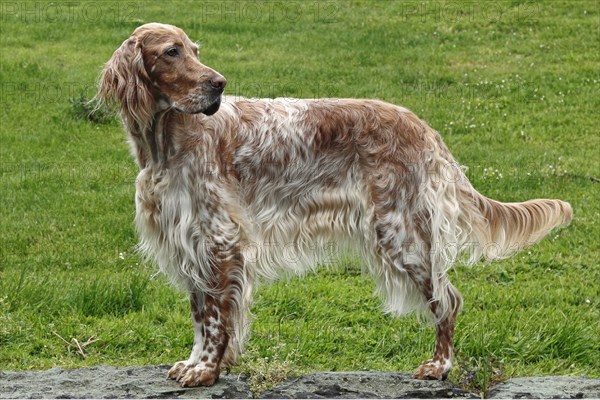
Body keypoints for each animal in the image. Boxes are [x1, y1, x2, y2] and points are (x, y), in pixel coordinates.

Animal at [95, 23, 572, 386]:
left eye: (194, 51)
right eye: (172, 52)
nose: (219, 83)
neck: (166, 143)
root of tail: (421, 125)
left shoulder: (218, 238)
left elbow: (215, 318)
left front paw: (208, 369)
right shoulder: (189, 240)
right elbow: (200, 313)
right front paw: (195, 362)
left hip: (400, 232)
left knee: (447, 299)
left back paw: (440, 366)